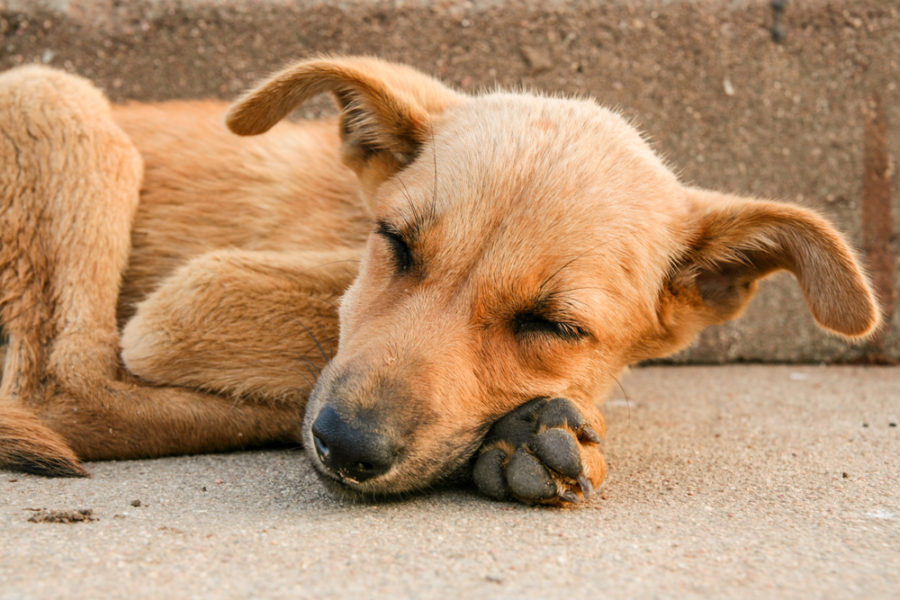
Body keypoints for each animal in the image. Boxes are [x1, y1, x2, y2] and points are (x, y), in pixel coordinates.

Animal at [0, 57, 876, 506]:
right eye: (394, 243)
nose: (345, 447)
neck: (350, 217)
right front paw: (531, 428)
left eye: (553, 326)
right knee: (63, 389)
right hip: (53, 94)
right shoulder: (194, 298)